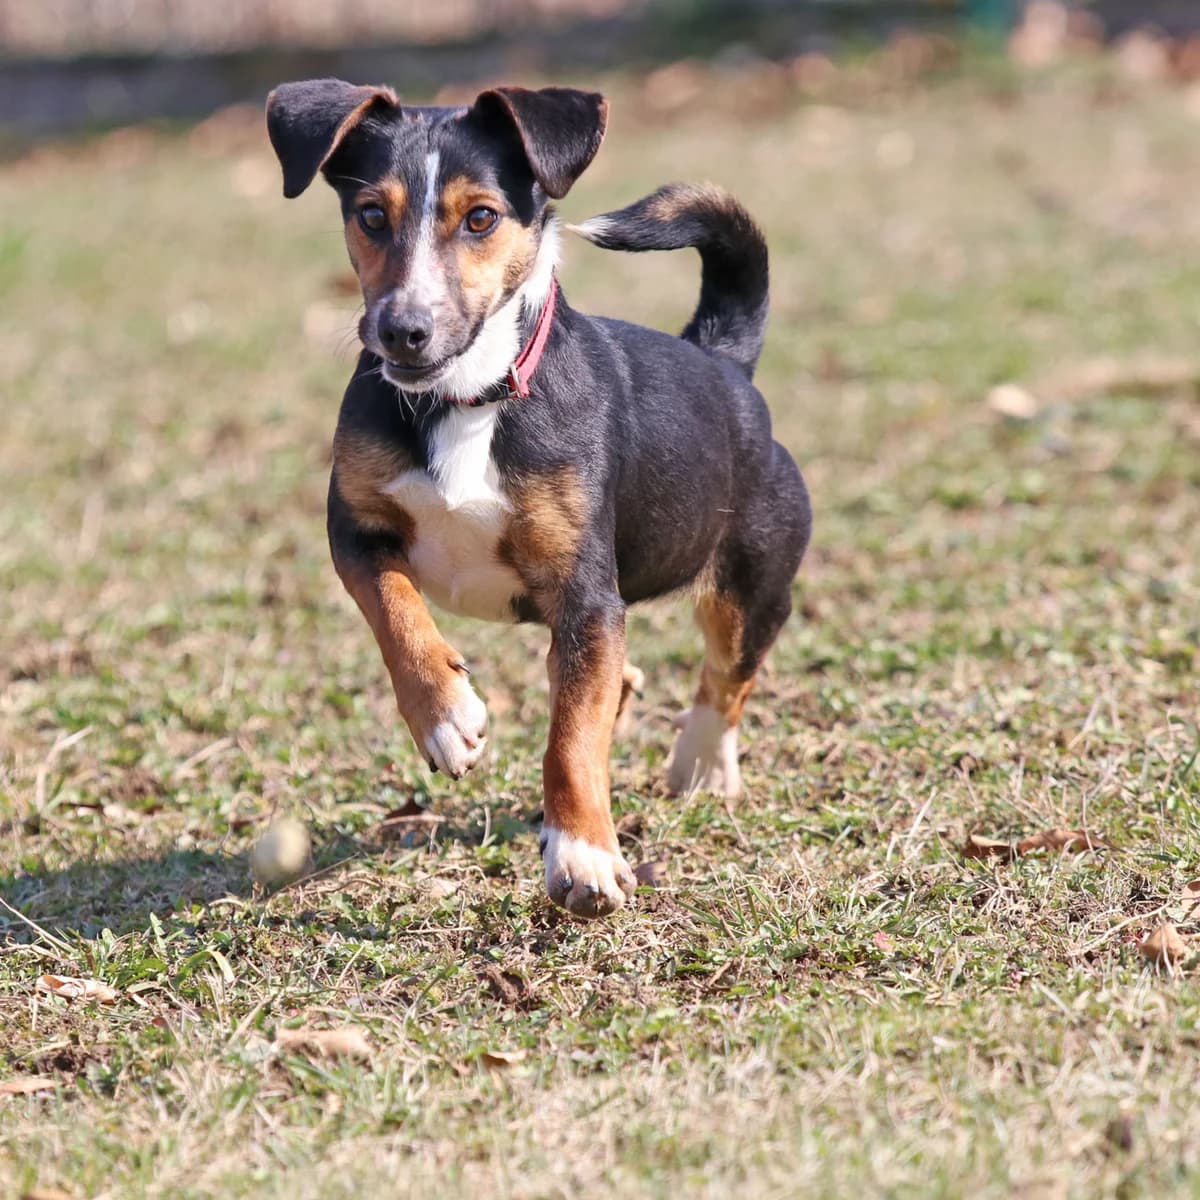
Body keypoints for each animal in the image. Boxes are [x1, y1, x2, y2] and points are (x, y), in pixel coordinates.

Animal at [265, 79, 811, 918]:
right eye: (371, 216)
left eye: (482, 218)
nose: (402, 332)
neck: (468, 395)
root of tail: (723, 360)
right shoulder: (353, 531)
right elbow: (393, 610)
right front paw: (446, 717)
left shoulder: (588, 596)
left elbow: (571, 742)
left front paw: (583, 853)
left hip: (754, 580)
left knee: (727, 675)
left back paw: (700, 765)